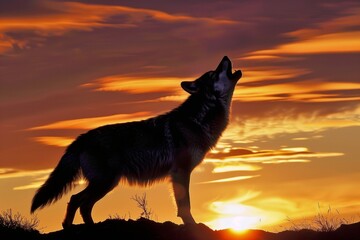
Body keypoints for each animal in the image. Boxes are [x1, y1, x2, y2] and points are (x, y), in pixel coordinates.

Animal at [31, 55, 242, 228]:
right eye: (213, 73)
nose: (225, 57)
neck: (200, 117)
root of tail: (81, 138)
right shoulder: (180, 172)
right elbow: (185, 206)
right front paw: (192, 225)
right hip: (105, 182)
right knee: (77, 200)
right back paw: (74, 226)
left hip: (106, 183)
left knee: (82, 204)